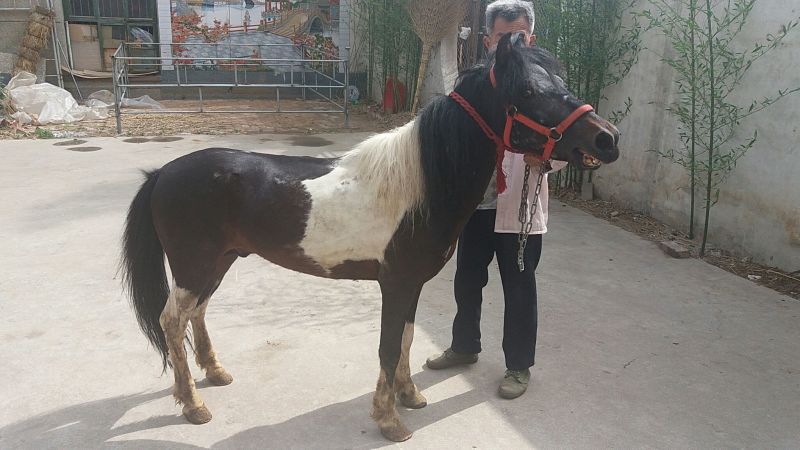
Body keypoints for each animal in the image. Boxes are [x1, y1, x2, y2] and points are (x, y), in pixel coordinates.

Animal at [121, 33, 620, 442]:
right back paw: (193, 405)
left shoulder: (412, 286)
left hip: (217, 263)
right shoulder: (394, 284)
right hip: (195, 266)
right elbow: (386, 345)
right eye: (529, 91)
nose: (607, 139)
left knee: (196, 314)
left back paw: (215, 374)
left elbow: (407, 339)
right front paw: (389, 420)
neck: (419, 187)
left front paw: (409, 396)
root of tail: (162, 173)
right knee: (172, 320)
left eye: (561, 80)